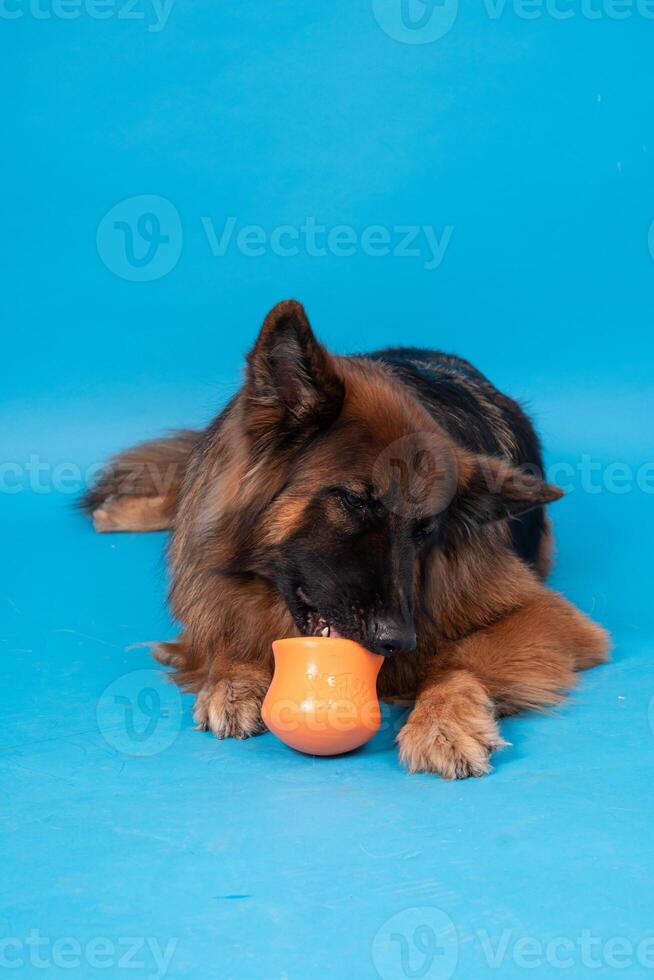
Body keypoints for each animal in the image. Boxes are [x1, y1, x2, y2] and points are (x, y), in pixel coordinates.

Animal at [84, 302, 612, 776]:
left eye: (426, 529)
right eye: (357, 501)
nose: (397, 640)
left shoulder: (545, 616)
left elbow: (456, 661)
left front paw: (442, 723)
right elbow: (229, 631)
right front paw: (233, 679)